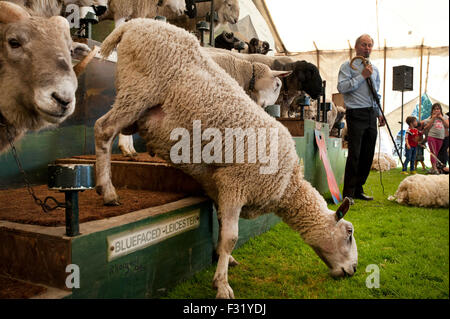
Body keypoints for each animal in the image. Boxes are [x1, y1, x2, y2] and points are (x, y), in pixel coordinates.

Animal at [96, 19, 358, 300]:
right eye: (349, 233)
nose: (353, 270)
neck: (288, 184)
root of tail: (135, 24)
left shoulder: (219, 186)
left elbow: (221, 229)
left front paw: (224, 260)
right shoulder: (236, 183)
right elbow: (231, 237)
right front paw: (222, 284)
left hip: (134, 97)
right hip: (140, 90)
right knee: (103, 129)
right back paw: (107, 191)